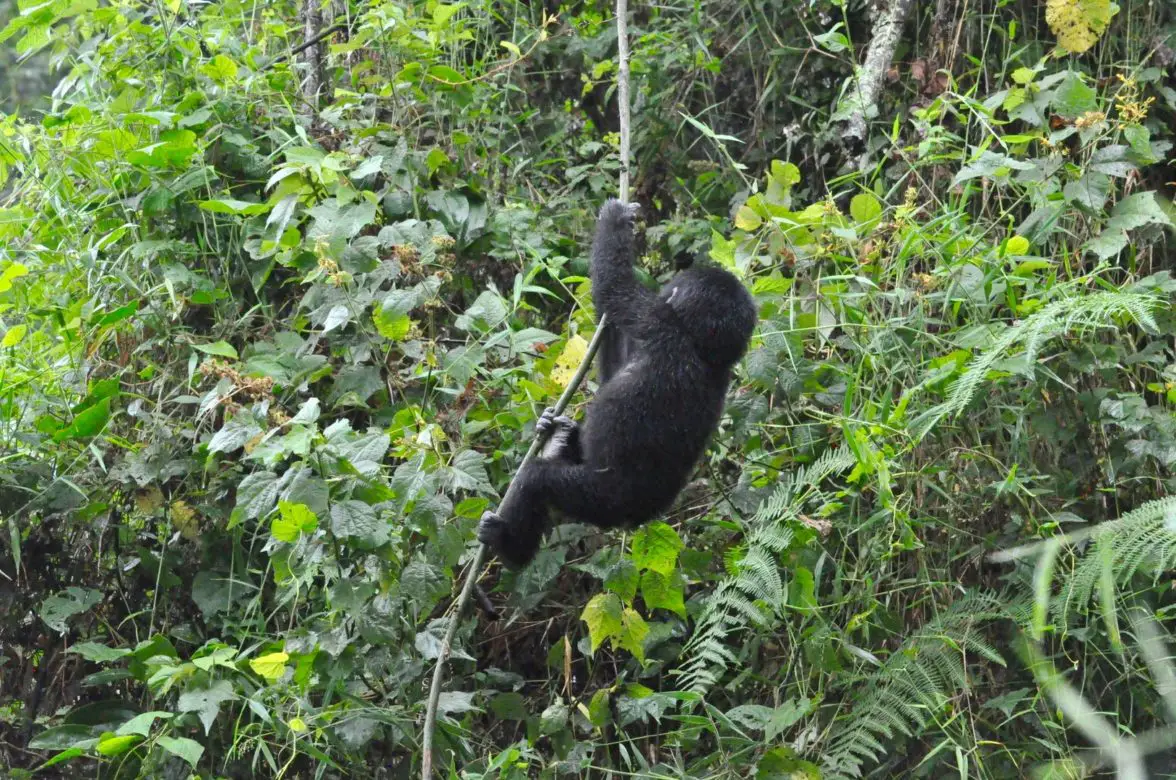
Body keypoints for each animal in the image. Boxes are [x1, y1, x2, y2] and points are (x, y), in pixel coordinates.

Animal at [475, 201, 757, 567]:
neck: (705, 351)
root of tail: (639, 519)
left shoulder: (656, 320)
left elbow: (614, 287)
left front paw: (615, 219)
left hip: (601, 502)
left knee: (538, 482)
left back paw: (510, 548)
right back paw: (558, 435)